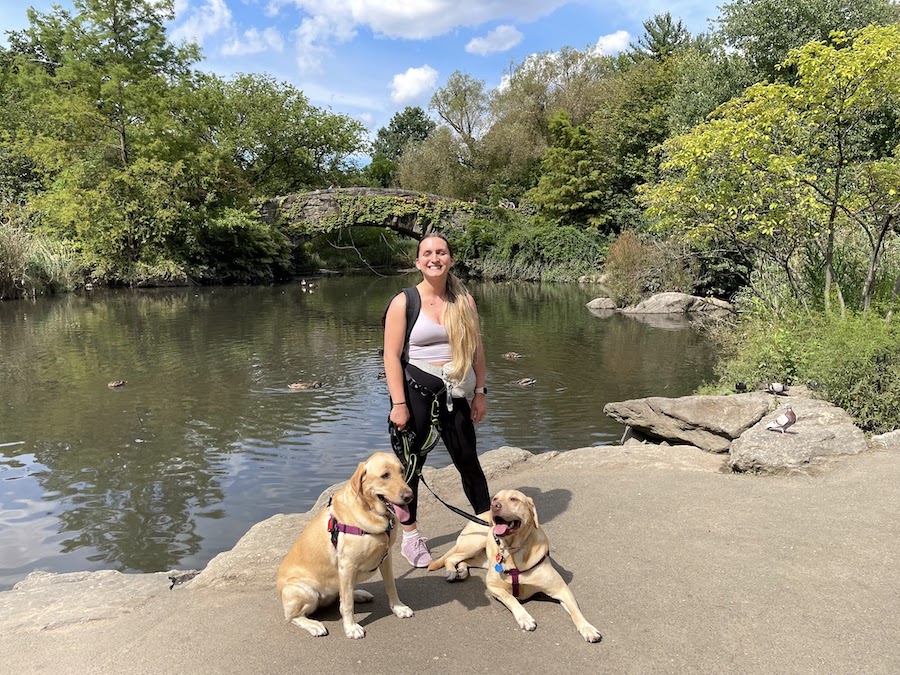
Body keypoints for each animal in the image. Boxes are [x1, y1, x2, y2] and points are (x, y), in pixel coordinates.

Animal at [276, 454, 414, 640]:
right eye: (385, 475)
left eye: (402, 471)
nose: (409, 496)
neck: (371, 512)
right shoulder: (347, 565)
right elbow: (347, 604)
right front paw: (351, 628)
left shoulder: (386, 558)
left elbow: (391, 586)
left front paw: (398, 608)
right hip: (305, 591)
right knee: (293, 616)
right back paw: (314, 625)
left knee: (340, 594)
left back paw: (359, 594)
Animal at [428, 488, 604, 640]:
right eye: (495, 499)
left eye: (514, 499)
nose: (494, 506)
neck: (513, 550)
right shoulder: (493, 586)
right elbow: (511, 598)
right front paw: (524, 617)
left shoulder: (560, 589)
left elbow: (575, 610)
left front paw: (587, 628)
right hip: (474, 543)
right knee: (451, 558)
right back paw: (451, 572)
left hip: (481, 556)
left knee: (463, 560)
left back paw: (462, 571)